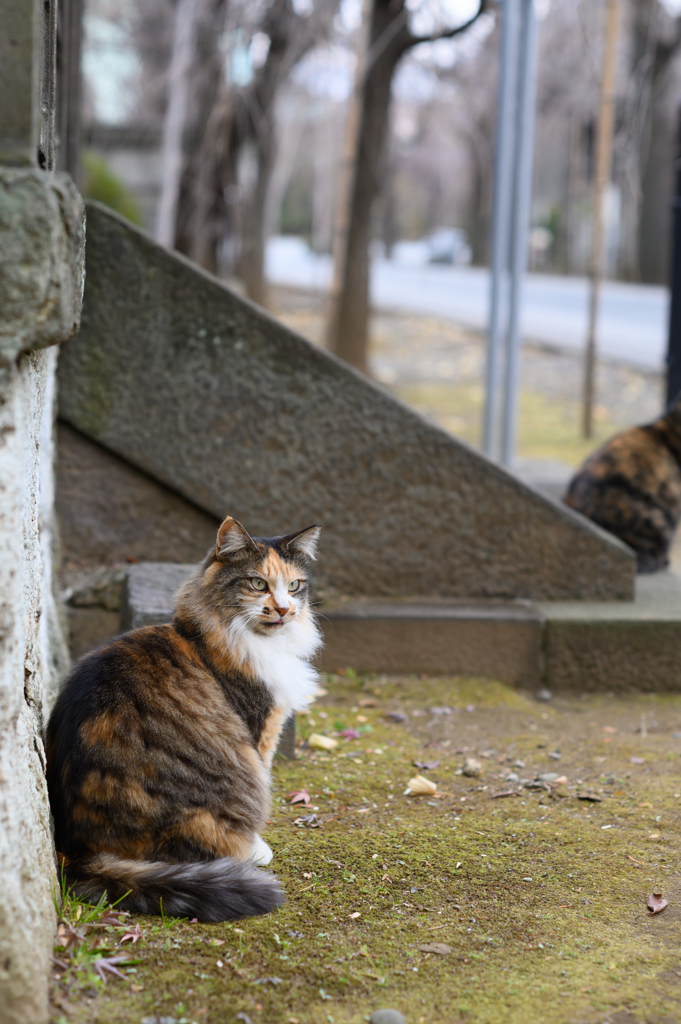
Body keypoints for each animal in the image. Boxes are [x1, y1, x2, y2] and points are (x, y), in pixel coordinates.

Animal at [45, 516, 321, 925]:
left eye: (294, 586)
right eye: (258, 584)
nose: (285, 609)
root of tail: (78, 854)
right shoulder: (260, 731)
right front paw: (259, 846)